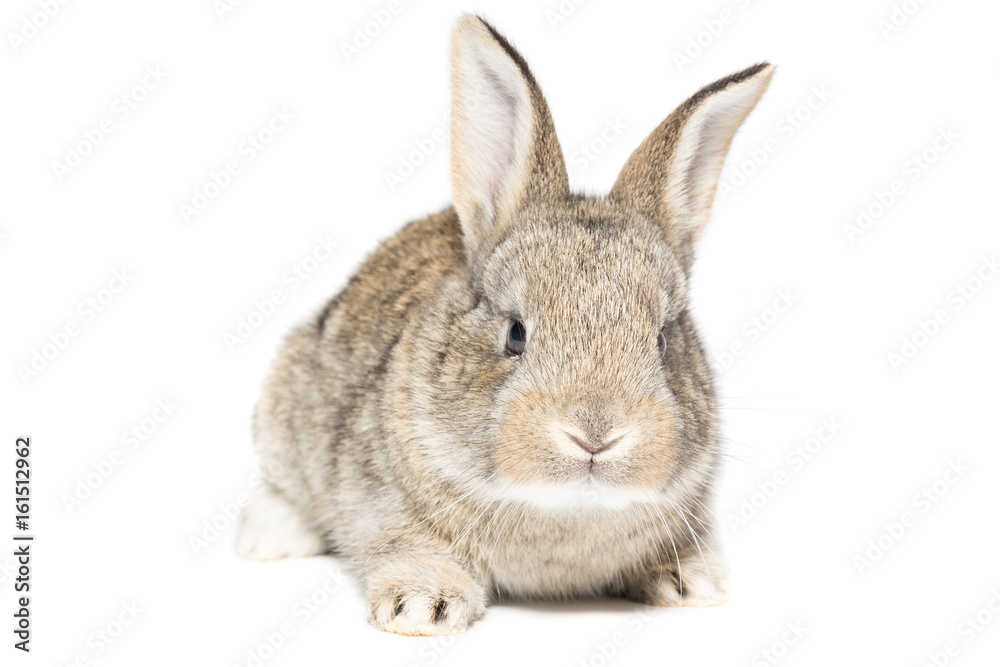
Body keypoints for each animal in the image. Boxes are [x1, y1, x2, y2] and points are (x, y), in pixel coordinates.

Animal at [235, 13, 773, 636]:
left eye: (662, 342)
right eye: (515, 333)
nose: (595, 435)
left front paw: (693, 584)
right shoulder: (378, 502)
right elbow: (404, 544)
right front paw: (423, 607)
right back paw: (267, 536)